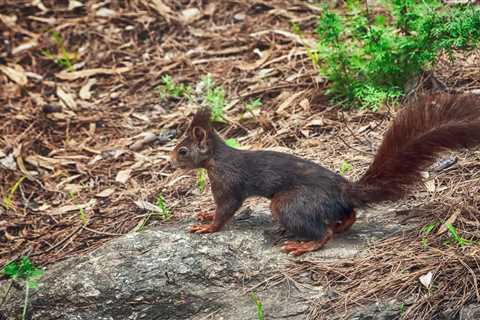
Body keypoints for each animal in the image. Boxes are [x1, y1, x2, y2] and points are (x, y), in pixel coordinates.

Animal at [169, 92, 480, 255]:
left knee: (323, 232)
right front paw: (203, 215)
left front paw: (208, 227)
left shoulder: (229, 183)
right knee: (349, 213)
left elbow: (226, 209)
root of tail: (345, 190)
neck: (216, 159)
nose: (171, 161)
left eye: (183, 151)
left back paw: (306, 245)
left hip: (288, 203)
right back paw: (343, 224)